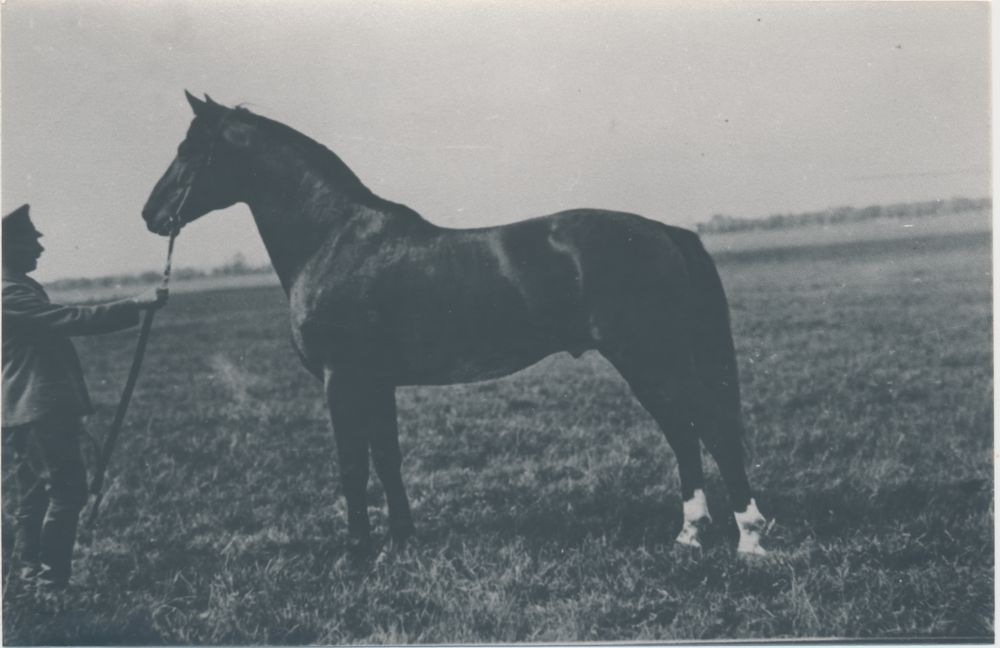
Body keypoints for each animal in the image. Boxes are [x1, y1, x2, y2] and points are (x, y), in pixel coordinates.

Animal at [143, 91, 764, 556]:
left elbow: (351, 464)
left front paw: (358, 552)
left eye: (189, 148)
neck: (335, 239)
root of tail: (664, 231)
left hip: (652, 356)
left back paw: (750, 540)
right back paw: (690, 535)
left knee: (711, 428)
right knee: (684, 433)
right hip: (645, 361)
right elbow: (387, 460)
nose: (150, 214)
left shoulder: (342, 379)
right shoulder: (375, 381)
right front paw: (402, 541)